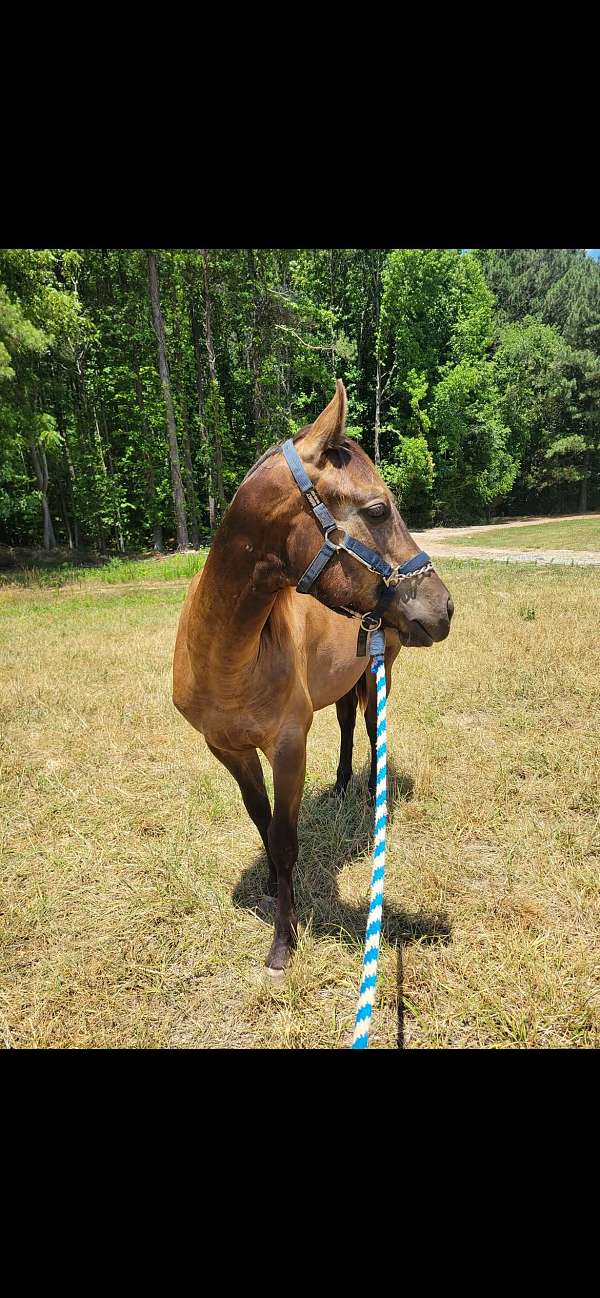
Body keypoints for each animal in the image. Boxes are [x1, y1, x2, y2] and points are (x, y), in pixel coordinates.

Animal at [173, 380, 453, 973]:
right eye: (377, 509)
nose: (444, 607)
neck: (229, 657)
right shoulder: (228, 749)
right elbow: (263, 822)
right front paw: (274, 890)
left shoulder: (287, 745)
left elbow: (285, 838)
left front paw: (283, 940)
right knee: (347, 723)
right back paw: (343, 783)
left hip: (381, 669)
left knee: (370, 729)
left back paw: (370, 795)